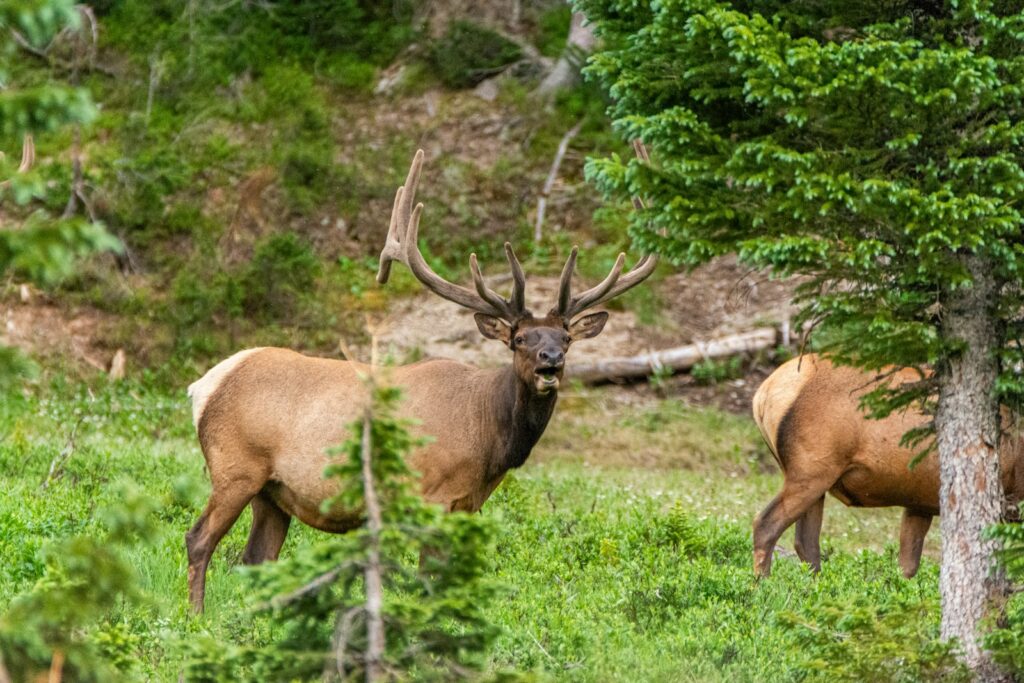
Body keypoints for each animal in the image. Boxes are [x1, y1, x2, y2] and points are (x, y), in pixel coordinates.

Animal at [184, 149, 657, 612]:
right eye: (520, 339)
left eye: (566, 338)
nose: (551, 362)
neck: (488, 433)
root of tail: (203, 387)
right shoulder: (432, 495)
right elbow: (429, 577)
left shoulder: (468, 505)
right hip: (235, 467)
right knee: (199, 539)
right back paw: (197, 618)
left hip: (273, 491)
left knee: (255, 558)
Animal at [751, 353, 1024, 579]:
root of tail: (762, 395)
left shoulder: (919, 502)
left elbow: (907, 566)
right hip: (810, 471)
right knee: (766, 524)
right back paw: (762, 586)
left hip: (813, 479)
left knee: (805, 542)